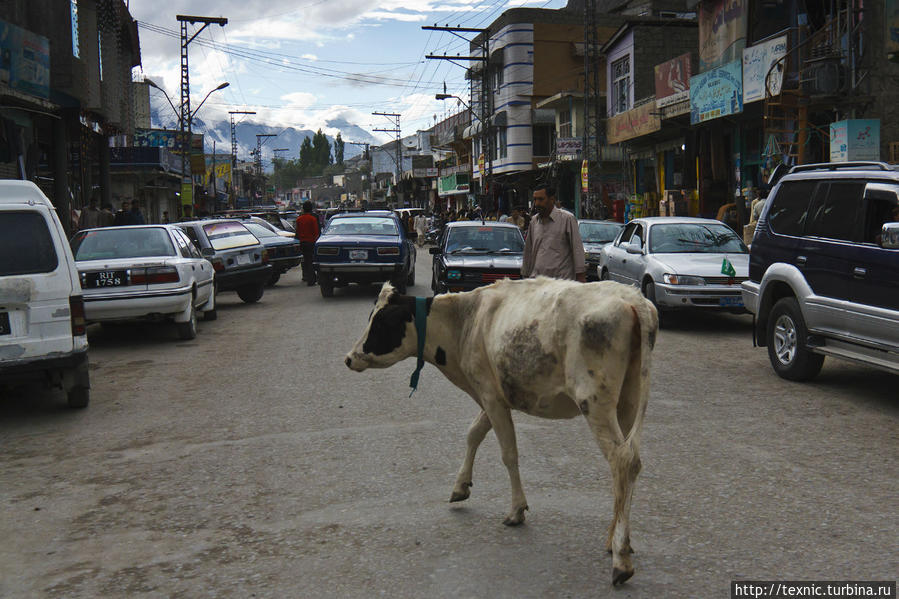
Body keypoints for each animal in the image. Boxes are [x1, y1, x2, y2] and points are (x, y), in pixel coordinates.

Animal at [344, 276, 660, 584]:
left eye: (381, 322)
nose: (349, 357)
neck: (465, 319)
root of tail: (632, 298)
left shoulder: (490, 393)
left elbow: (508, 453)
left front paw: (516, 510)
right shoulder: (493, 394)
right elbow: (473, 432)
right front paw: (461, 486)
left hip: (594, 401)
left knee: (621, 459)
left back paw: (621, 559)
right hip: (628, 400)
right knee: (630, 464)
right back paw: (615, 539)